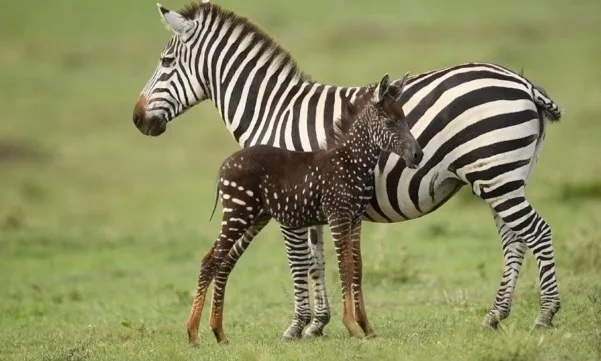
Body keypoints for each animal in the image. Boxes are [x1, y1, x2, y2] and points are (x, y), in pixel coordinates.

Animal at [188, 72, 422, 344]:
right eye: (389, 122)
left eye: (405, 119)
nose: (418, 155)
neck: (351, 162)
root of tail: (225, 164)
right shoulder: (337, 215)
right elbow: (344, 265)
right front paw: (352, 326)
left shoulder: (355, 219)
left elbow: (358, 267)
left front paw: (367, 327)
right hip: (238, 213)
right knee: (210, 260)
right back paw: (193, 334)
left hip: (254, 217)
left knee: (222, 261)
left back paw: (219, 332)